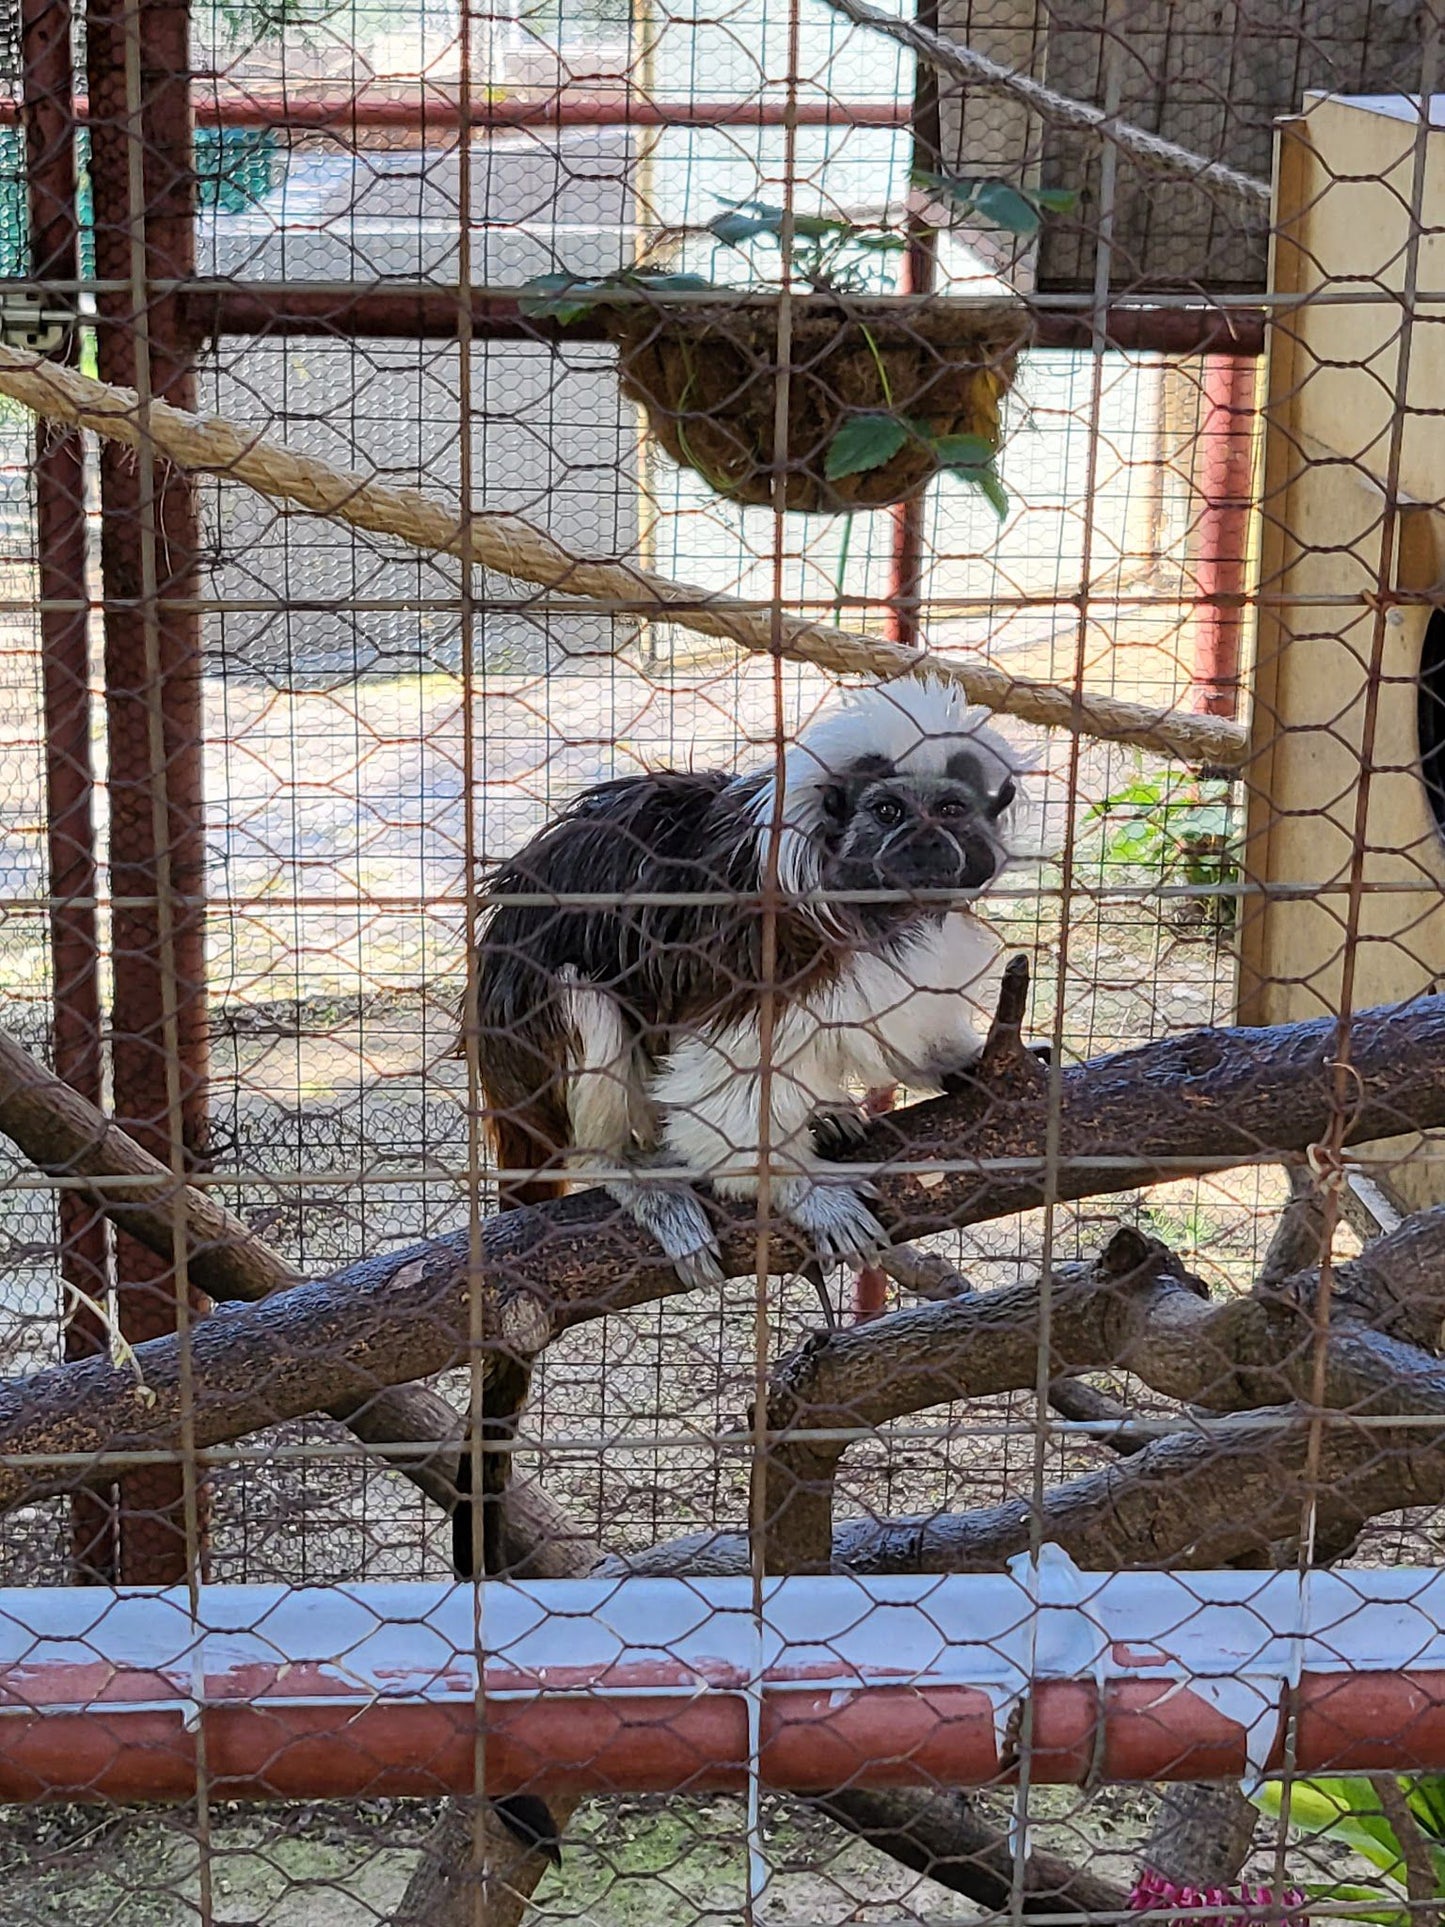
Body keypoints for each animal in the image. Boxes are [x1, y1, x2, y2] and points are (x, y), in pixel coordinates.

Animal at [446, 670, 1024, 1603]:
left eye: (951, 808)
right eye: (888, 812)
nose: (927, 840)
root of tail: (502, 1096)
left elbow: (900, 1020)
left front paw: (968, 1062)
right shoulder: (760, 940)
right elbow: (712, 1077)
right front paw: (798, 1189)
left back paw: (824, 1113)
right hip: (532, 1055)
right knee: (578, 990)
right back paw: (635, 1171)